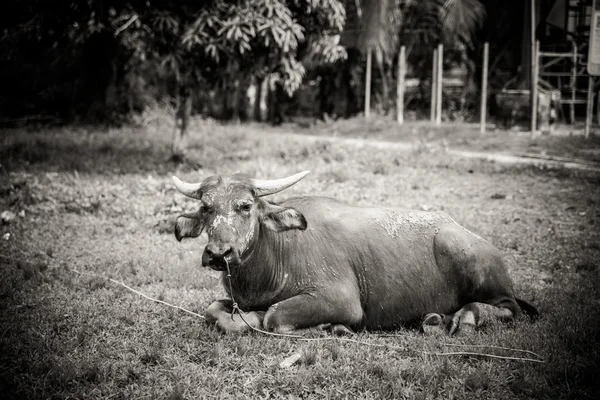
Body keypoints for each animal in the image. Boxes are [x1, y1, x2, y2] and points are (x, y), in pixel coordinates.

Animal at [171, 170, 536, 334]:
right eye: (205, 208)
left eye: (246, 206)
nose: (218, 253)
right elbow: (212, 310)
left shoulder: (341, 301)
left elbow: (273, 316)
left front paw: (330, 328)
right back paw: (437, 318)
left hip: (468, 258)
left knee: (510, 309)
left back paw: (466, 317)